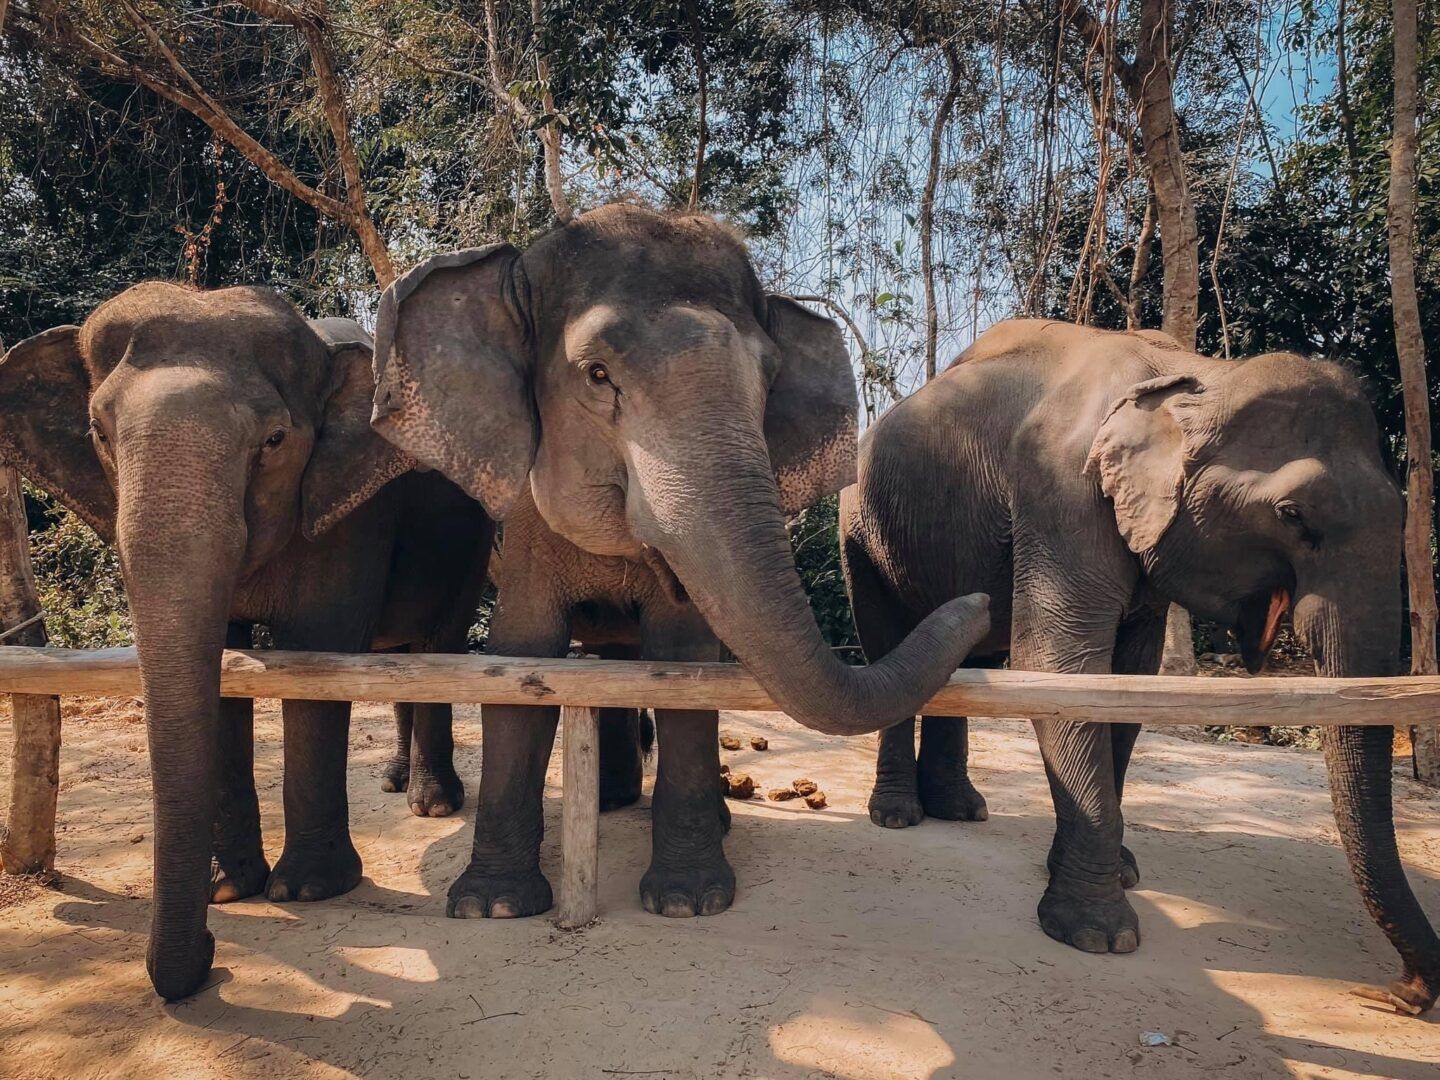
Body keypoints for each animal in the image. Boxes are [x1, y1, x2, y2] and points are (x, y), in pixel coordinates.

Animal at [0, 283, 492, 1002]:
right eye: (98, 434)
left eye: (276, 440)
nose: (214, 958)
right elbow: (225, 666)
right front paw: (229, 888)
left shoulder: (349, 512)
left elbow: (321, 646)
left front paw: (308, 889)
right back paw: (398, 783)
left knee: (439, 643)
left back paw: (432, 805)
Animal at [365, 203, 990, 921]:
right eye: (597, 374)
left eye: (768, 376)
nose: (980, 602)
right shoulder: (520, 525)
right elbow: (523, 657)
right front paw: (490, 906)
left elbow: (683, 660)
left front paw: (690, 901)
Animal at [840, 319, 1440, 1013]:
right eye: (1293, 516)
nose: (1402, 993)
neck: (1197, 373)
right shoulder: (1062, 491)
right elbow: (1061, 666)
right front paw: (1100, 935)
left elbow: (1126, 680)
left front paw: (1120, 872)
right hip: (860, 529)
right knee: (885, 641)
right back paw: (898, 816)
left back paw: (960, 810)